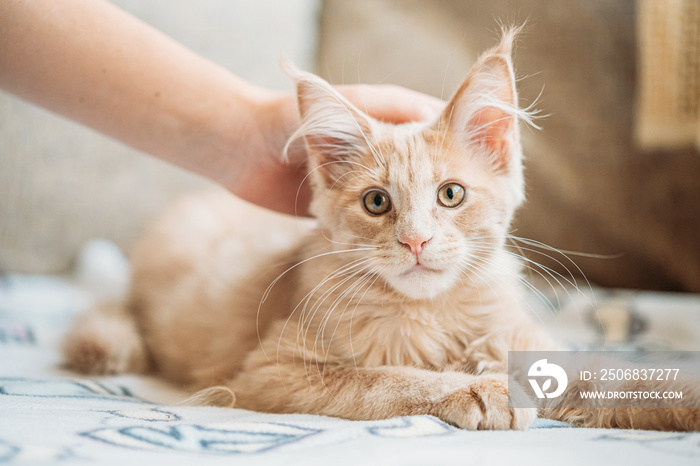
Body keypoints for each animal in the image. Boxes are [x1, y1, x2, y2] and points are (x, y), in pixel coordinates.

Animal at [65, 31, 700, 434]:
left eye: (451, 195)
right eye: (377, 203)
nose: (415, 241)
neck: (433, 316)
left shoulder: (527, 345)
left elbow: (627, 382)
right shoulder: (273, 369)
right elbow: (386, 378)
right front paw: (472, 388)